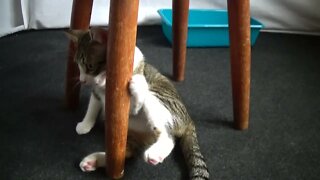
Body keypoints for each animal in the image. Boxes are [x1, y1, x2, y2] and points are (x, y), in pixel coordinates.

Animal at [65, 28, 210, 180]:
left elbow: (134, 105)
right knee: (127, 153)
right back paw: (93, 161)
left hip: (160, 100)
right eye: (78, 65)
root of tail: (189, 120)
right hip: (131, 136)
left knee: (167, 135)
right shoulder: (96, 93)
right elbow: (92, 107)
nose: (82, 80)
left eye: (90, 66)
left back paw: (155, 153)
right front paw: (85, 124)